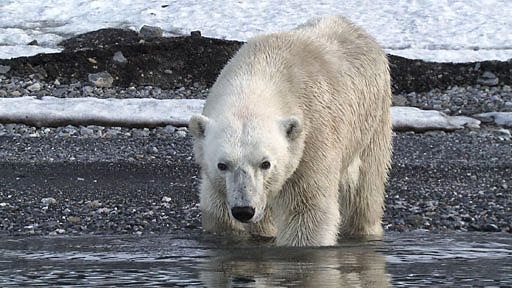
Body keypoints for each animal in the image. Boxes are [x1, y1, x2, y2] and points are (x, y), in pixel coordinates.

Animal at [189, 15, 392, 246]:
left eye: (266, 163)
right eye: (222, 165)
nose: (244, 210)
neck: (259, 73)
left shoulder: (311, 141)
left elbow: (306, 212)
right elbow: (219, 213)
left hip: (372, 118)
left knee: (364, 186)